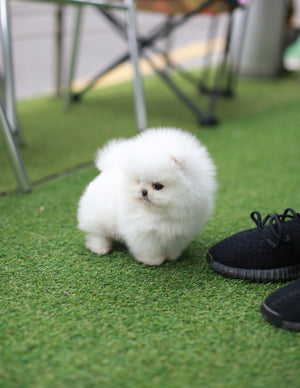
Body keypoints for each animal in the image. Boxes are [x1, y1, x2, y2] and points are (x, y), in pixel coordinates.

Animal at [78, 129, 217, 266]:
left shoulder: (178, 233)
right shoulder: (145, 233)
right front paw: (153, 261)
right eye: (138, 181)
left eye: (158, 186)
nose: (143, 192)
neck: (162, 212)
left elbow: (172, 247)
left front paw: (172, 256)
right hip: (97, 218)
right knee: (96, 234)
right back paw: (100, 248)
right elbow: (149, 248)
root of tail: (109, 168)